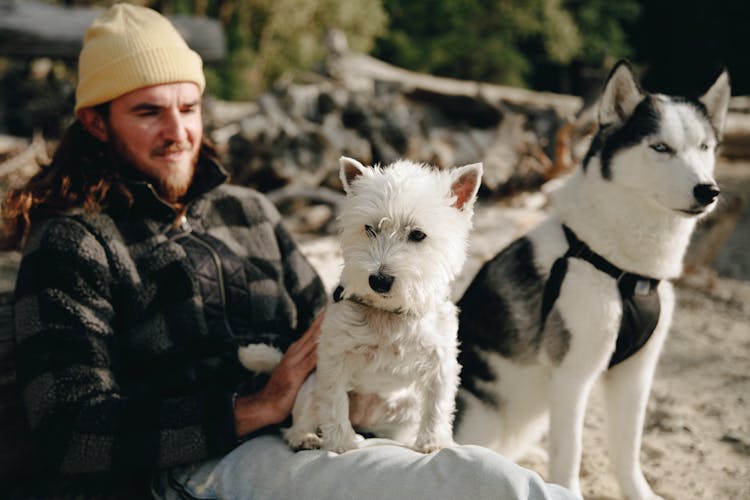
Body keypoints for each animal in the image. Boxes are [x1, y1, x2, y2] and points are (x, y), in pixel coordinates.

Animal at [244, 157, 484, 454]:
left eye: (417, 235)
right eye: (370, 229)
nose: (379, 280)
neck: (389, 313)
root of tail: (366, 419)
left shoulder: (440, 359)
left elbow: (437, 404)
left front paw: (433, 441)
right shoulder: (334, 355)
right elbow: (334, 401)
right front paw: (342, 443)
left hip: (406, 408)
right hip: (310, 385)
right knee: (301, 419)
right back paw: (306, 437)